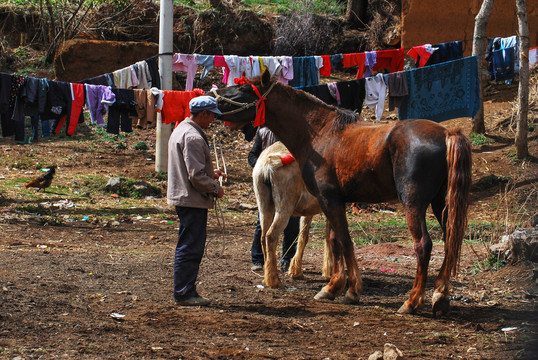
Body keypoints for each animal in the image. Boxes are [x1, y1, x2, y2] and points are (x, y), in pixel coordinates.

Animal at [251, 141, 330, 286]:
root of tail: (268, 164)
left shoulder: (308, 210)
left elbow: (303, 237)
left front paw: (296, 271)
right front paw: (329, 273)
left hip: (265, 207)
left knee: (263, 236)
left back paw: (267, 274)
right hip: (284, 208)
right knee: (271, 235)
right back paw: (273, 280)